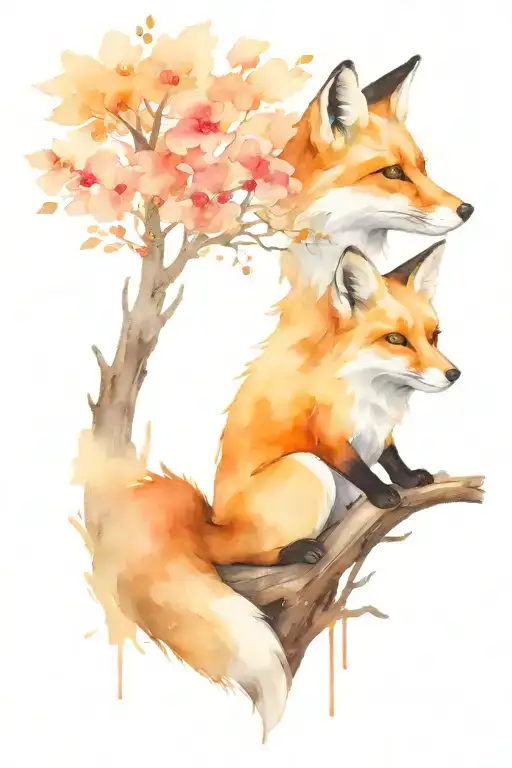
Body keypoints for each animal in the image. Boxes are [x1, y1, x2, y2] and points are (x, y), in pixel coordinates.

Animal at [116, 238, 460, 741]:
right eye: (396, 340)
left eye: (434, 336)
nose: (454, 374)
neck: (373, 395)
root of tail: (211, 523)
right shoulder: (327, 438)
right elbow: (358, 467)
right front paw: (384, 495)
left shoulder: (382, 433)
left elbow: (391, 456)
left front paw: (410, 478)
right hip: (305, 470)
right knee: (235, 554)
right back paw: (299, 551)